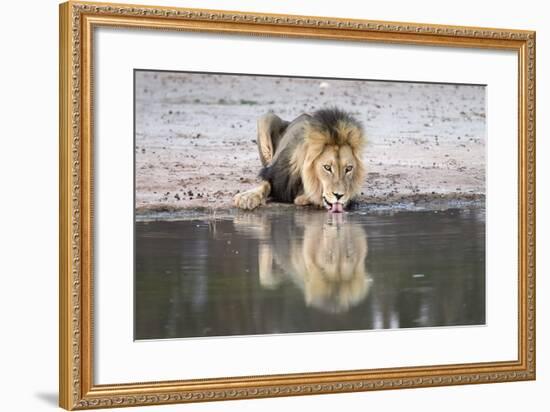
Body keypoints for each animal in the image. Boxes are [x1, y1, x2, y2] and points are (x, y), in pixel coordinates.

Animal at [233, 108, 366, 212]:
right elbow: (264, 184)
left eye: (349, 169)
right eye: (327, 167)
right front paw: (247, 197)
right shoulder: (274, 175)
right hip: (266, 118)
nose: (339, 195)